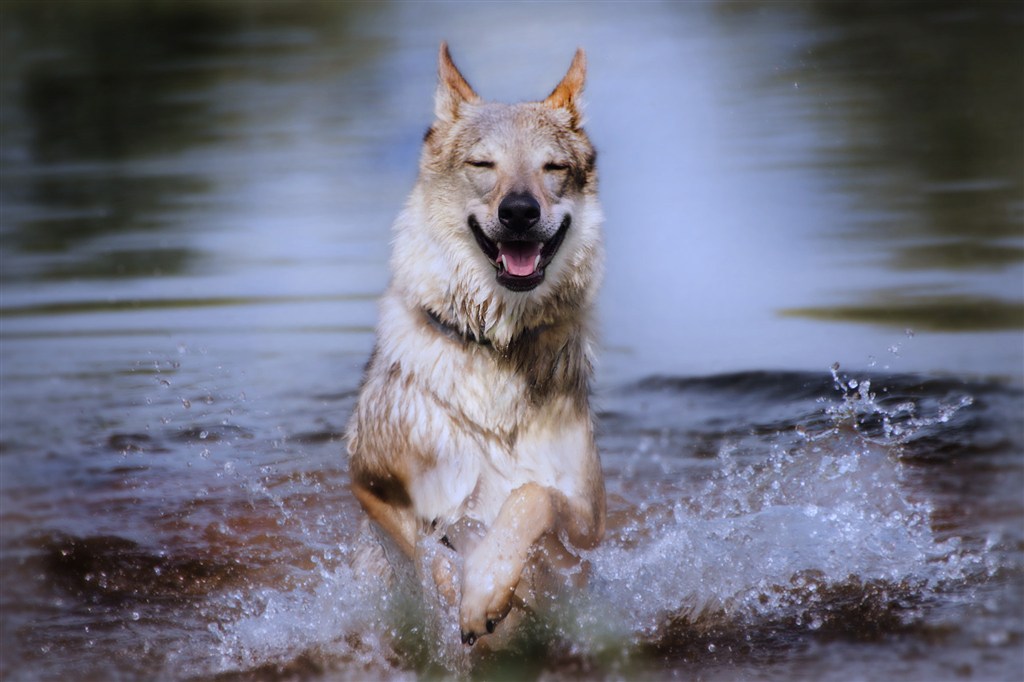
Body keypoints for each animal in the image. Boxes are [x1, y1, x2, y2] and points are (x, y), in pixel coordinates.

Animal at [348, 42, 602, 643]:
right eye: (482, 166)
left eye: (553, 168)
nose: (519, 211)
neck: (497, 348)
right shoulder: (367, 480)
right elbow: (426, 550)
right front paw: (459, 595)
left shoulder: (587, 521)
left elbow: (532, 497)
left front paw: (485, 588)